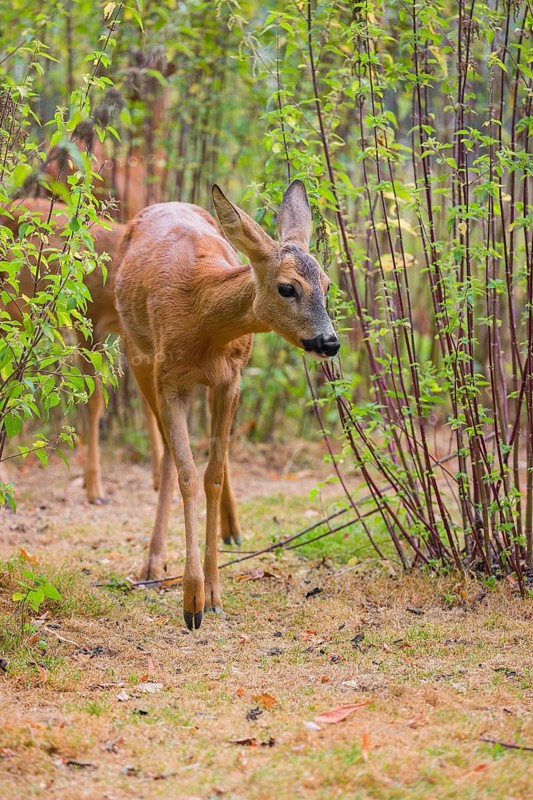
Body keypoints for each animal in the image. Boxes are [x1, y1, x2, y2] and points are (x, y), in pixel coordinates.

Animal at [115, 180, 340, 629]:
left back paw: (231, 529)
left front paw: (215, 593)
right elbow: (187, 474)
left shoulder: (231, 380)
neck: (202, 317)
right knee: (166, 455)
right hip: (137, 352)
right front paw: (192, 602)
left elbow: (213, 474)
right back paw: (153, 562)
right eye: (287, 287)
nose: (329, 341)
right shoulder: (168, 380)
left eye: (327, 285)